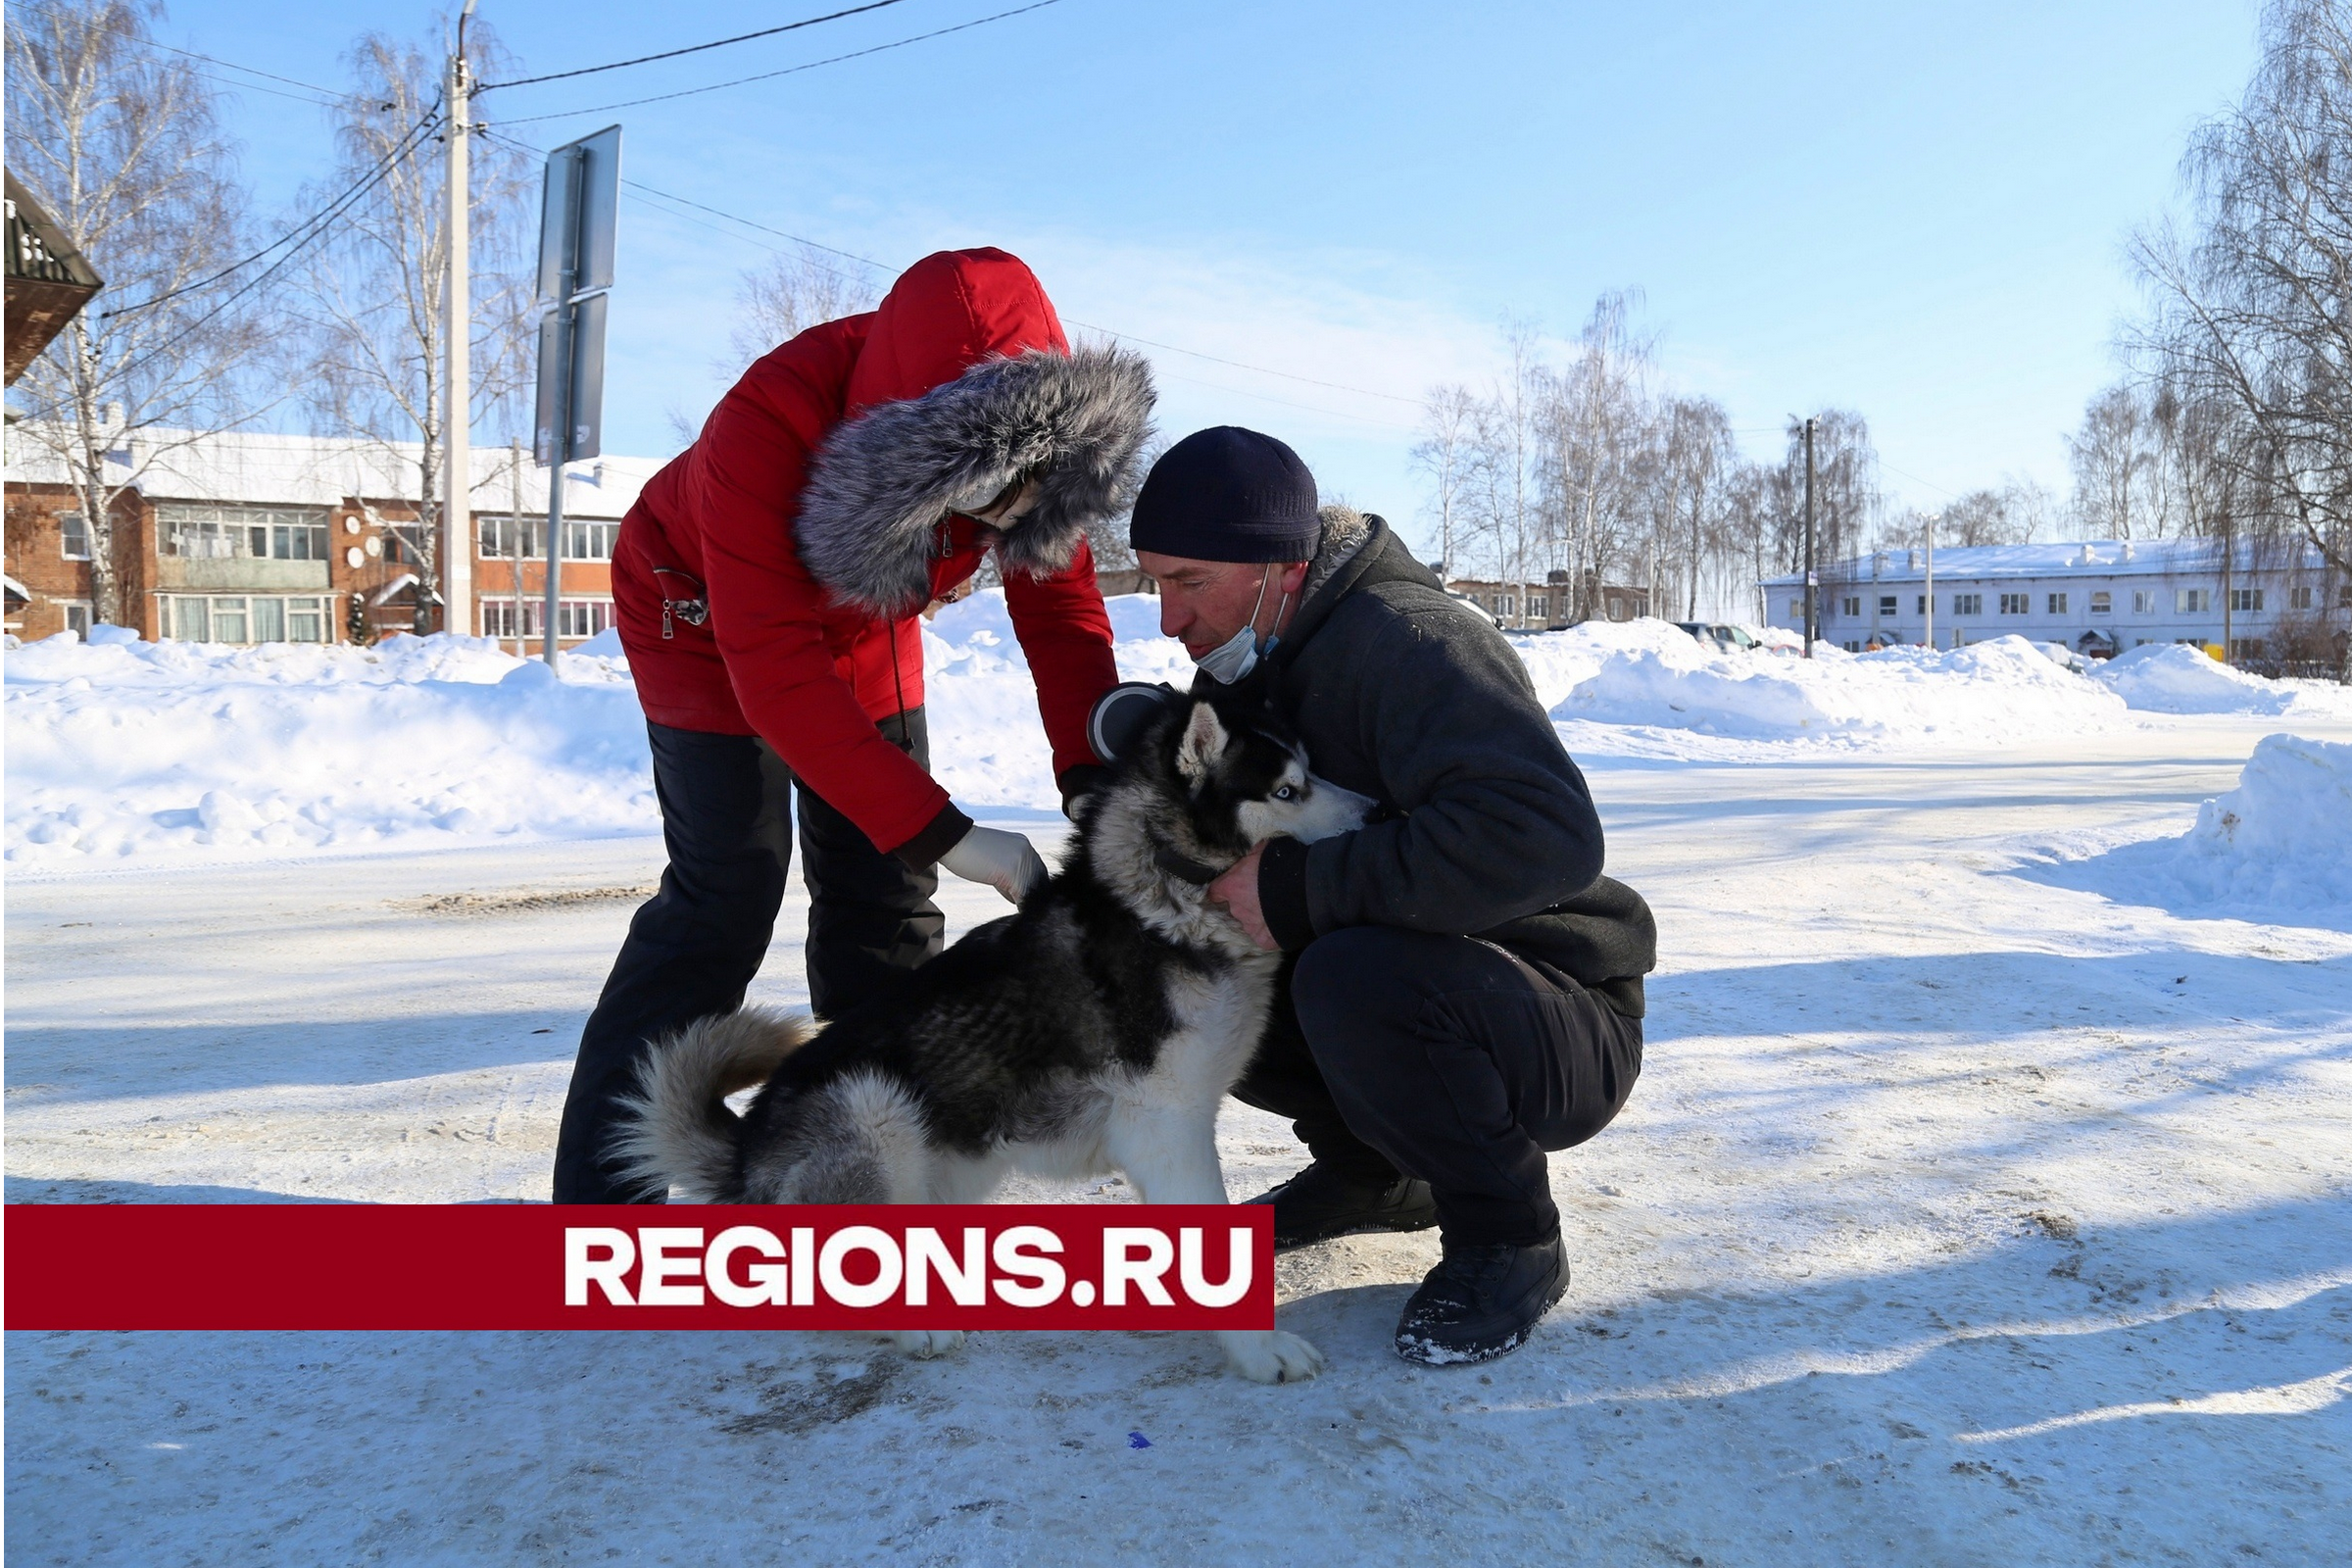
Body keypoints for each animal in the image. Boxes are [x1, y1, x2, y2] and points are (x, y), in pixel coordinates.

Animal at [615, 691, 1373, 1382]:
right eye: (1287, 790)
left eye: (1310, 770)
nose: (1374, 813)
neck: (1164, 907)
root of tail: (746, 1146)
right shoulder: (1166, 1122)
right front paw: (1260, 1350)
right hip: (874, 1107)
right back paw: (915, 1324)